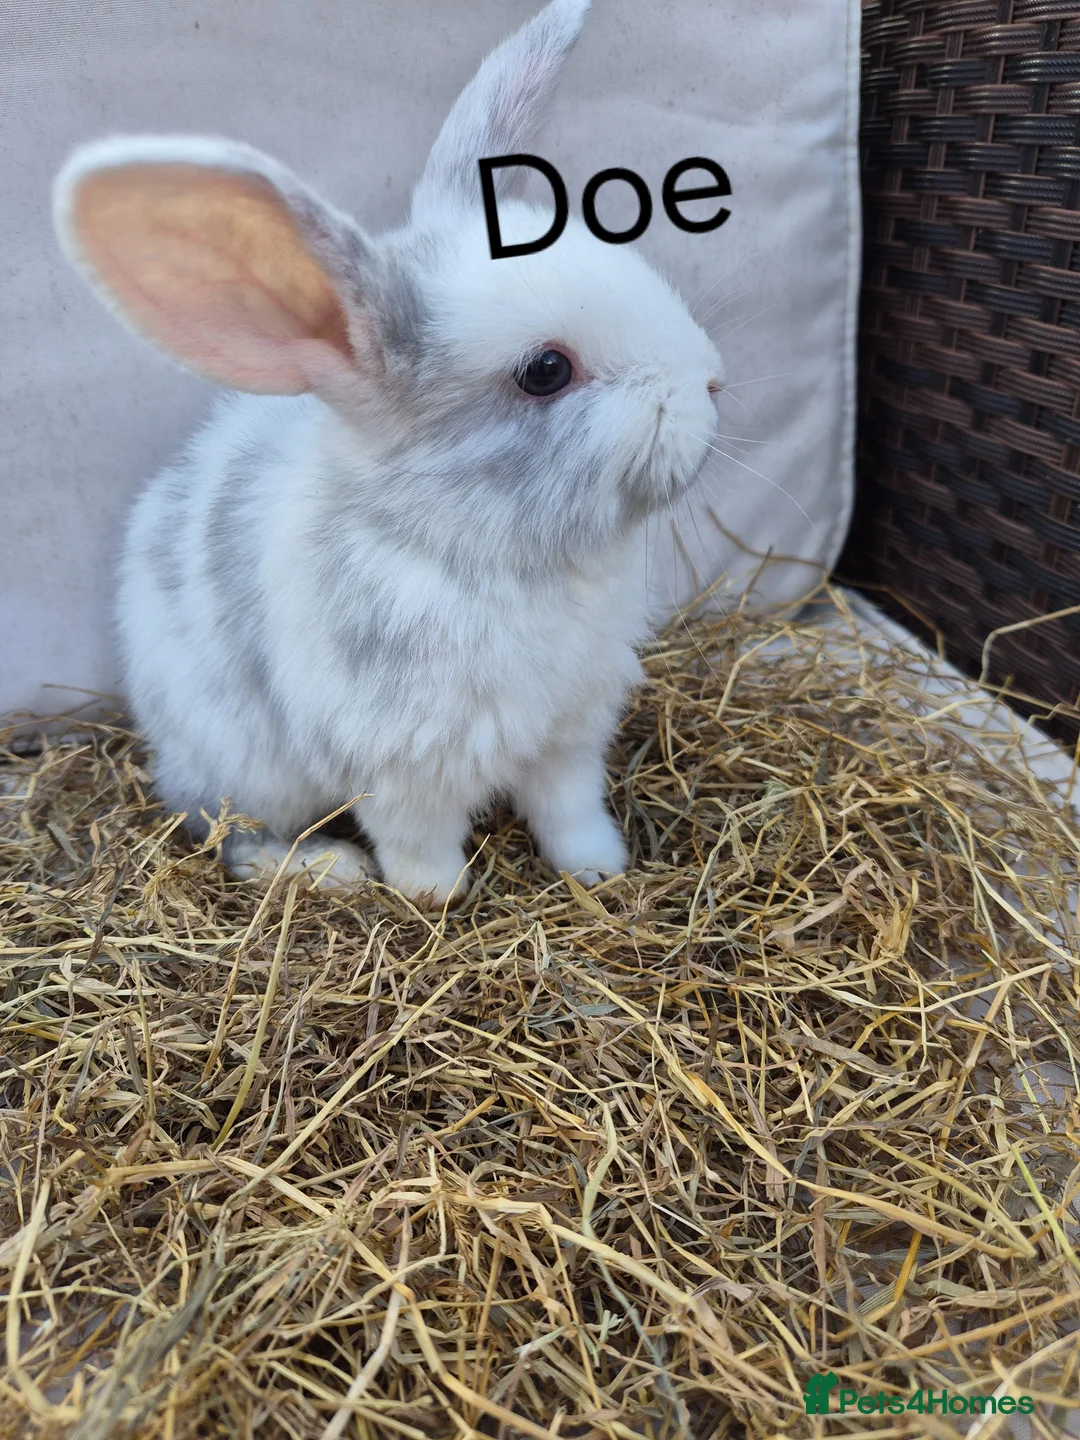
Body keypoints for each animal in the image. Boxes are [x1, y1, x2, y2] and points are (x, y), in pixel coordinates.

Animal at [51, 0, 724, 907]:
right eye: (546, 371)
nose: (712, 383)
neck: (495, 555)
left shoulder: (569, 736)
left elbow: (569, 808)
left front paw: (598, 869)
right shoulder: (404, 767)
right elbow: (419, 840)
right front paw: (437, 897)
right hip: (240, 770)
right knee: (225, 832)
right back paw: (329, 870)